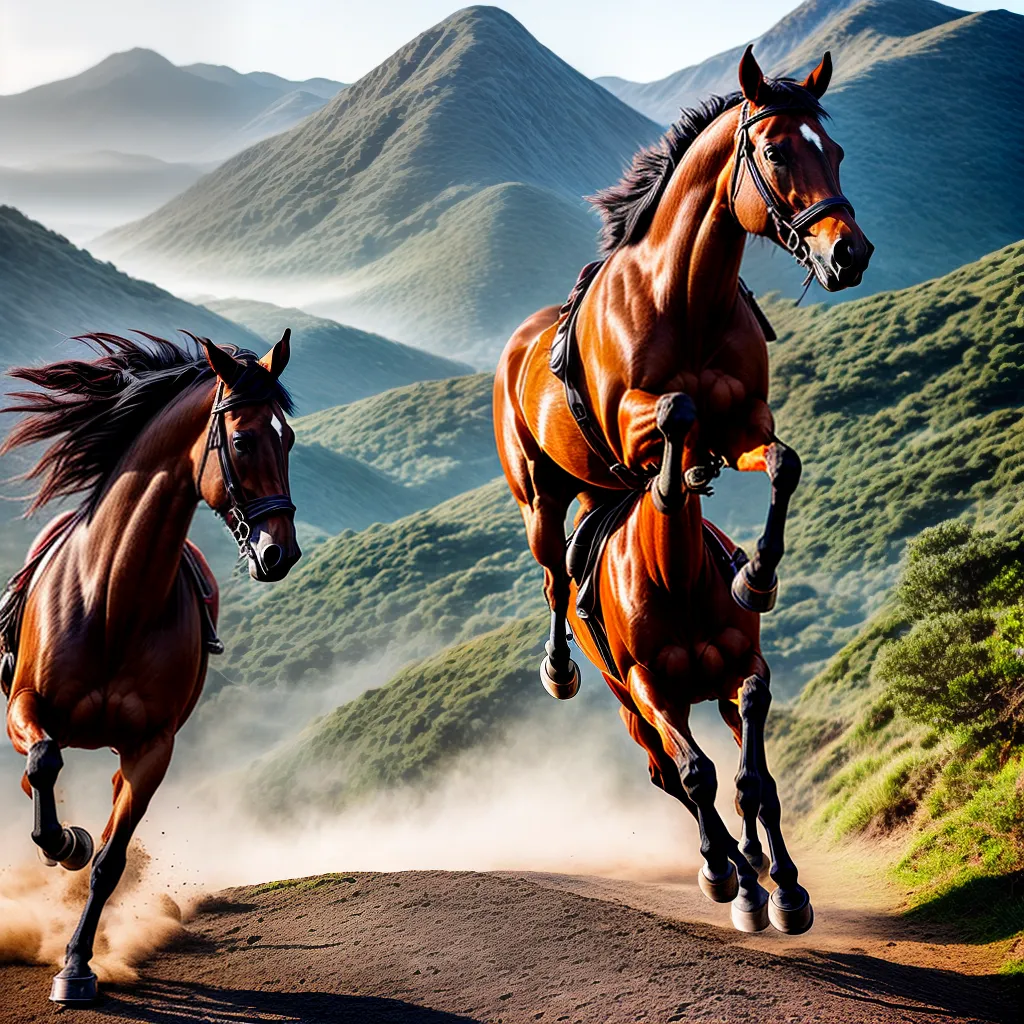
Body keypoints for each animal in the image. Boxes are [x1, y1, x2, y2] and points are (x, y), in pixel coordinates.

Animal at [0, 330, 300, 1004]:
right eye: (243, 439)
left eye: (289, 437)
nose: (280, 553)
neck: (113, 598)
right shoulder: (22, 707)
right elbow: (45, 762)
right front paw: (65, 842)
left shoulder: (152, 747)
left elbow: (110, 861)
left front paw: (76, 967)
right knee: (39, 776)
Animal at [494, 46, 872, 698]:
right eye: (775, 152)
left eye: (837, 152)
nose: (850, 254)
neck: (685, 299)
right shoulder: (631, 425)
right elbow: (677, 409)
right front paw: (679, 481)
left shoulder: (743, 424)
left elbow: (782, 464)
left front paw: (755, 579)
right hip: (540, 496)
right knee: (554, 574)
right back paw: (560, 668)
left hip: (592, 486)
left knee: (586, 549)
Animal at [566, 390, 811, 934]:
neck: (676, 580)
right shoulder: (652, 689)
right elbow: (697, 775)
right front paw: (742, 885)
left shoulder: (745, 670)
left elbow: (757, 782)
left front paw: (787, 889)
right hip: (631, 707)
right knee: (669, 775)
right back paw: (726, 870)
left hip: (715, 695)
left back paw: (749, 859)